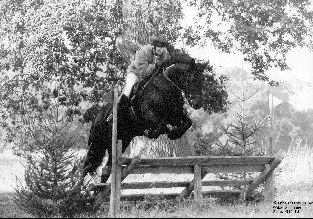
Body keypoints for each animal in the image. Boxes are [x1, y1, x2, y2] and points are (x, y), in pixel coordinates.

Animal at [81, 50, 207, 182]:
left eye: (202, 80)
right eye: (192, 79)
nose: (197, 104)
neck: (164, 88)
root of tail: (99, 115)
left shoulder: (174, 117)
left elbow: (188, 122)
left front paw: (174, 134)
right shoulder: (150, 116)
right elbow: (162, 126)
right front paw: (151, 132)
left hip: (121, 141)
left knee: (106, 169)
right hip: (98, 142)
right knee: (87, 166)